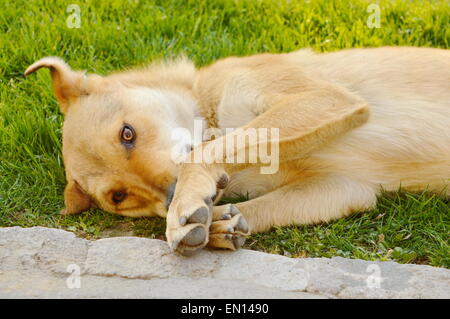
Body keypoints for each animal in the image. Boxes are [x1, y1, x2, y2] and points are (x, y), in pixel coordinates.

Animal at [25, 47, 450, 255]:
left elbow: (201, 154)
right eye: (119, 196)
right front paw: (215, 224)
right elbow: (260, 207)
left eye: (126, 134)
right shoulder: (345, 188)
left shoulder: (323, 98)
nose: (171, 198)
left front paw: (192, 209)